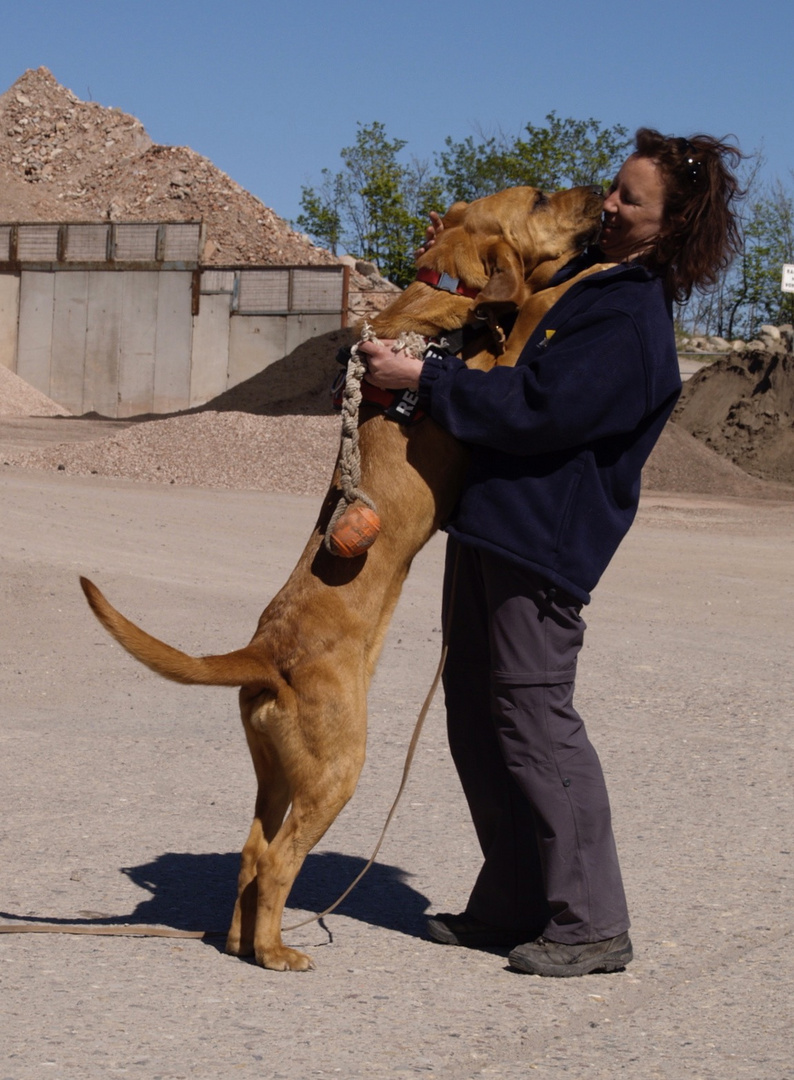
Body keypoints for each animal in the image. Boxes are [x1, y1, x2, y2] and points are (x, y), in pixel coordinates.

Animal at [81, 183, 604, 972]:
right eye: (542, 198)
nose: (600, 194)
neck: (444, 295)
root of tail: (265, 652)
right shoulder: (503, 366)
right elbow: (541, 301)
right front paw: (598, 271)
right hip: (338, 770)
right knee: (278, 860)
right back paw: (276, 953)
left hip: (276, 771)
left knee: (251, 852)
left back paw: (244, 942)